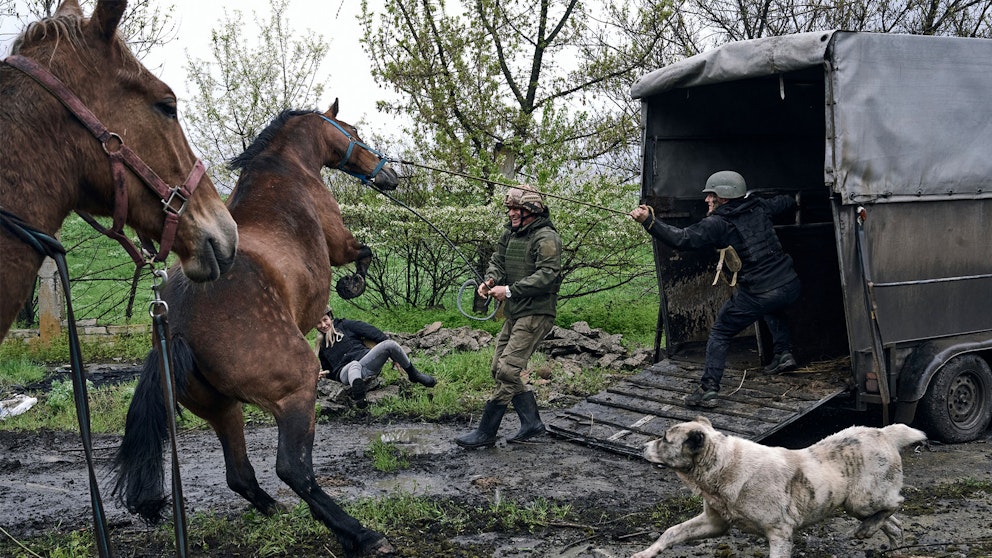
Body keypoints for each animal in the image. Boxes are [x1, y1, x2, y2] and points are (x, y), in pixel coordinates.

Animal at [112, 103, 400, 556]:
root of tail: (177, 328)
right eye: (351, 130)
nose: (387, 174)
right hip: (297, 388)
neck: (286, 167)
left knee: (240, 474)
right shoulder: (340, 242)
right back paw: (359, 533)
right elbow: (363, 253)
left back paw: (277, 511)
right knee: (294, 470)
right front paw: (352, 286)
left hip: (222, 408)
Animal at [636, 418, 928, 556]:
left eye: (664, 439)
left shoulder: (779, 533)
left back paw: (867, 529)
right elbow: (671, 532)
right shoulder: (714, 523)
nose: (641, 447)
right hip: (857, 505)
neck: (723, 465)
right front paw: (645, 553)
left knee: (896, 503)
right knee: (895, 525)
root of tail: (883, 432)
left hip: (861, 500)